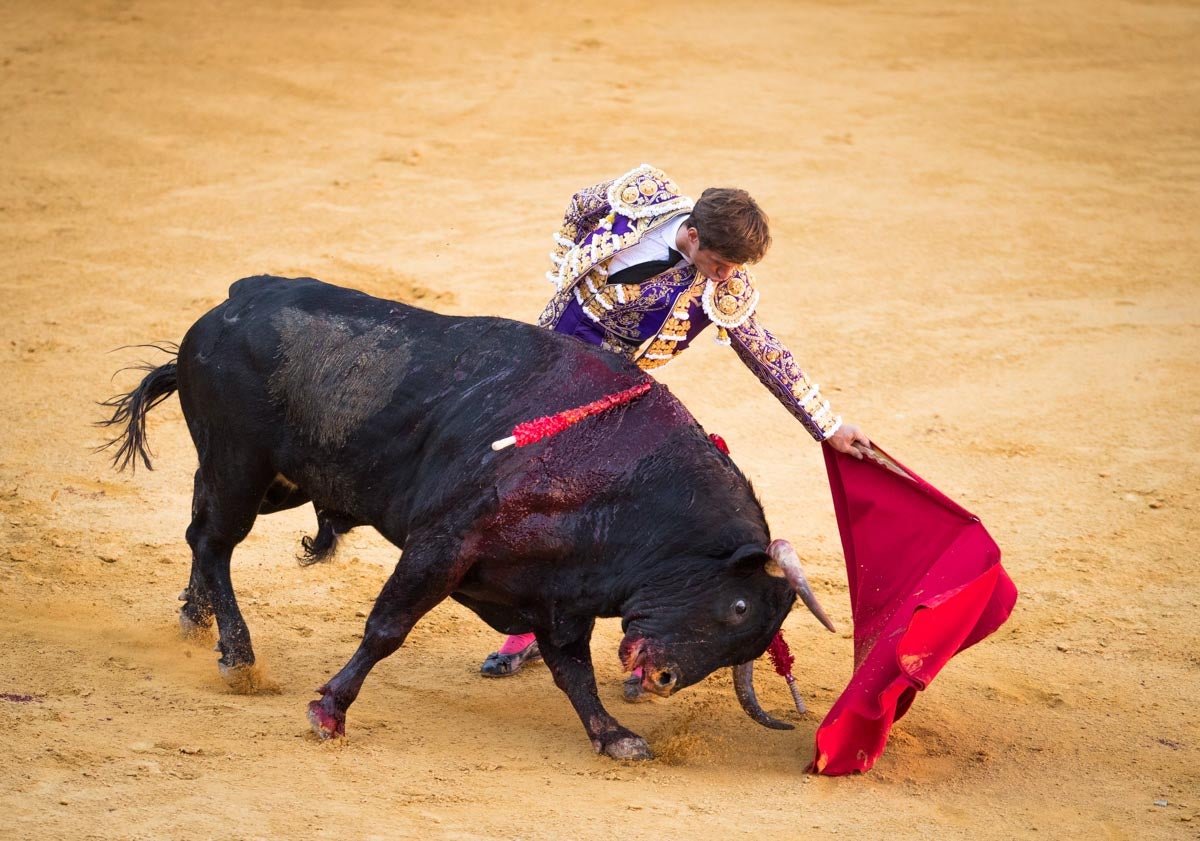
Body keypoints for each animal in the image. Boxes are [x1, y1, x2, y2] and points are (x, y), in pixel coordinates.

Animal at [103, 277, 835, 763]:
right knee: (216, 540)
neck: (623, 479)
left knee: (201, 532)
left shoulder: (558, 595)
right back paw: (239, 656)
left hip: (278, 479)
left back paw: (195, 621)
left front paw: (614, 736)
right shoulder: (444, 544)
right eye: (738, 607)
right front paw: (328, 710)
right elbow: (387, 627)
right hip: (241, 464)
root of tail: (225, 308)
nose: (662, 681)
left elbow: (573, 670)